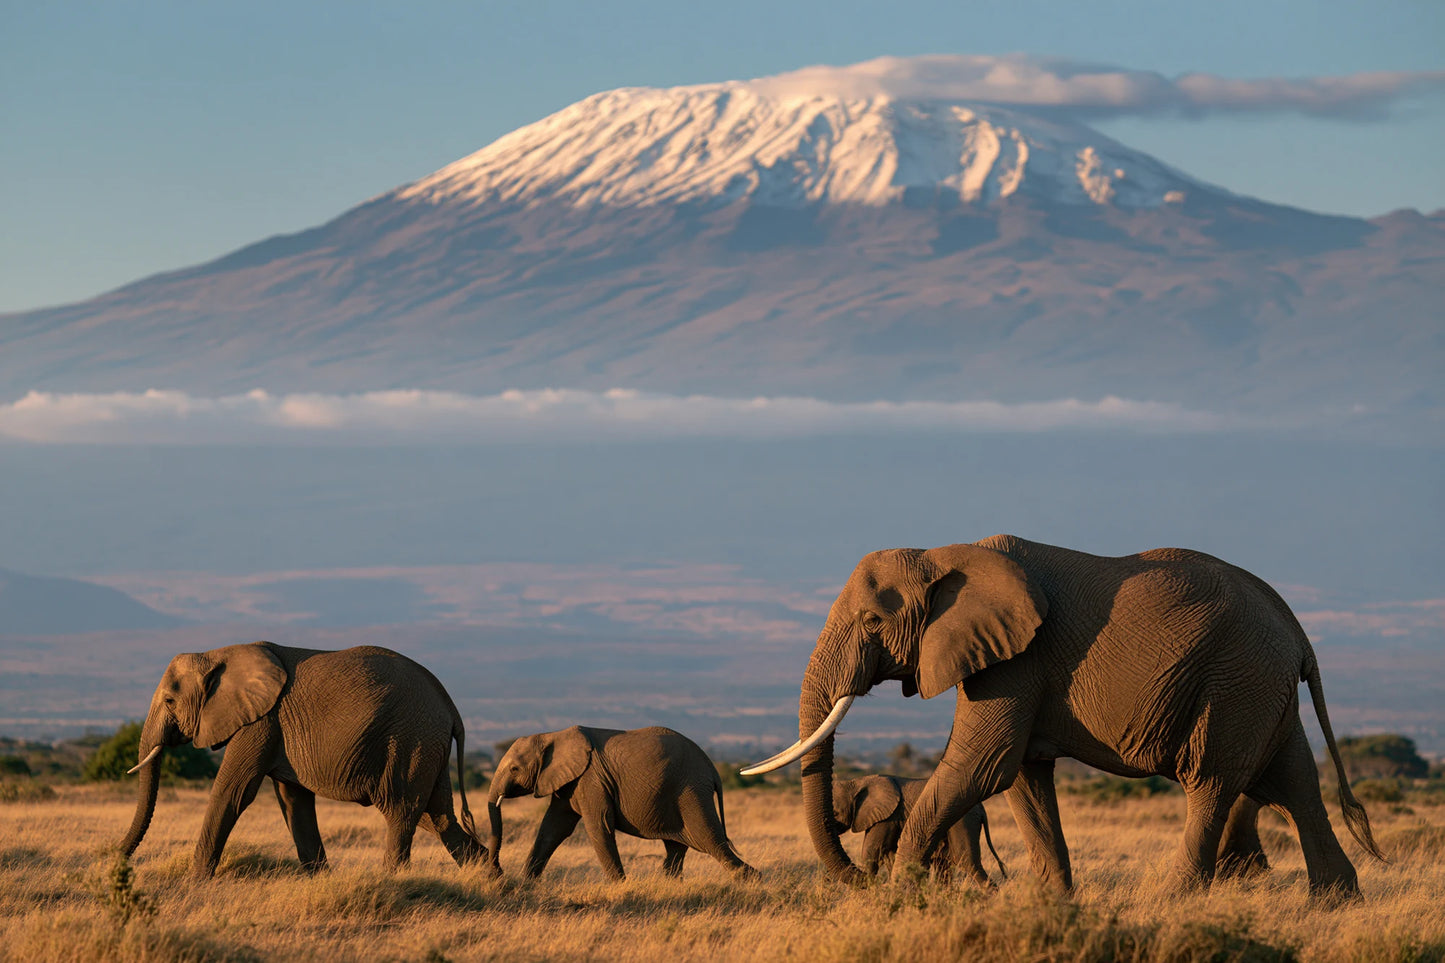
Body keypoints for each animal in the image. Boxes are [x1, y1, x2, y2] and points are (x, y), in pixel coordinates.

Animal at [119, 641, 491, 879]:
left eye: (170, 701)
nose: (116, 861)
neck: (216, 653)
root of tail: (450, 706)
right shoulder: (273, 726)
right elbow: (293, 801)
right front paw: (320, 879)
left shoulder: (260, 721)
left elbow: (233, 791)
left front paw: (196, 882)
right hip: (428, 746)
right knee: (436, 815)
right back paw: (492, 879)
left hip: (410, 740)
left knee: (401, 810)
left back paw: (394, 880)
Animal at [487, 725, 757, 881]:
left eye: (514, 769)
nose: (497, 873)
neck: (552, 735)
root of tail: (712, 768)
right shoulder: (568, 782)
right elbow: (553, 828)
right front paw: (526, 884)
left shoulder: (591, 779)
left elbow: (598, 826)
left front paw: (619, 885)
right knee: (677, 847)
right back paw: (669, 885)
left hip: (690, 791)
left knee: (709, 840)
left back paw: (751, 879)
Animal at [833, 774, 1006, 884]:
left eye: (835, 813)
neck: (855, 783)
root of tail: (981, 808)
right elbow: (889, 855)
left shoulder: (888, 816)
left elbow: (872, 851)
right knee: (943, 866)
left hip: (963, 821)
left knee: (966, 860)